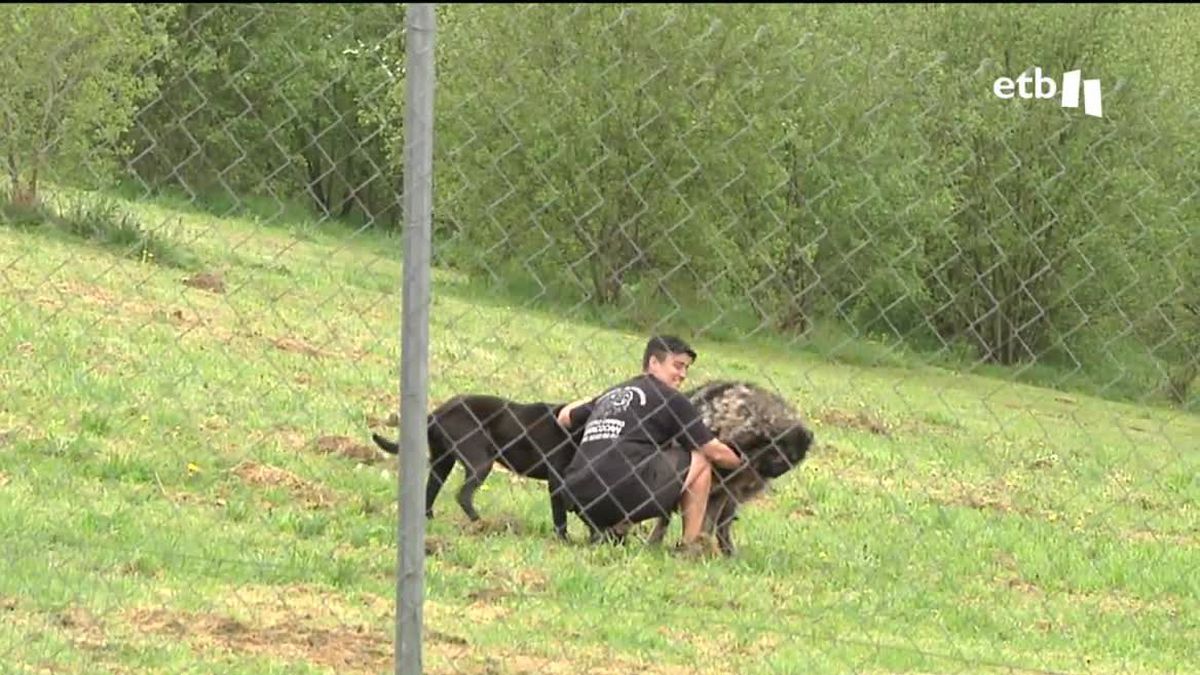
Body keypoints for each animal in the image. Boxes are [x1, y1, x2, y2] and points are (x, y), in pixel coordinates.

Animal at [369, 391, 585, 538]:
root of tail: (437, 412)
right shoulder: (557, 480)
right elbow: (560, 515)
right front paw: (564, 540)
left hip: (443, 462)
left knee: (430, 492)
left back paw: (431, 520)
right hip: (480, 462)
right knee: (463, 495)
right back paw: (481, 524)